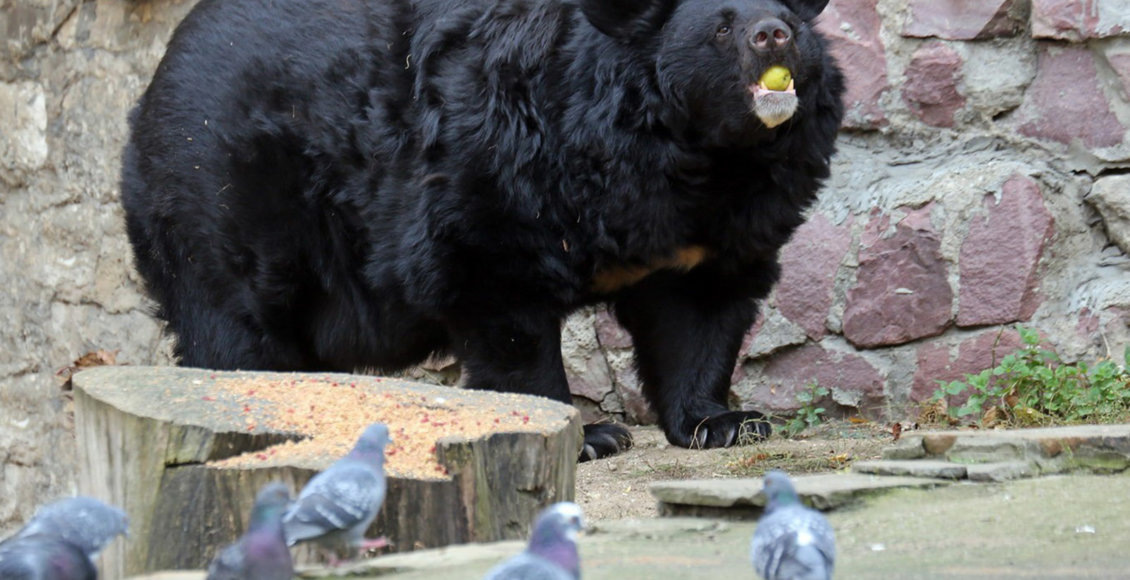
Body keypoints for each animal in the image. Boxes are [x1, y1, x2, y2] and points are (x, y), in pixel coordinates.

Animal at [120, 0, 844, 461]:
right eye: (722, 29)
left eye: (788, 21)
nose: (773, 35)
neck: (701, 158)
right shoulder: (502, 167)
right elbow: (500, 300)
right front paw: (587, 436)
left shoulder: (719, 227)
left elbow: (700, 314)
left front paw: (723, 424)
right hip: (223, 198)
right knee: (236, 327)